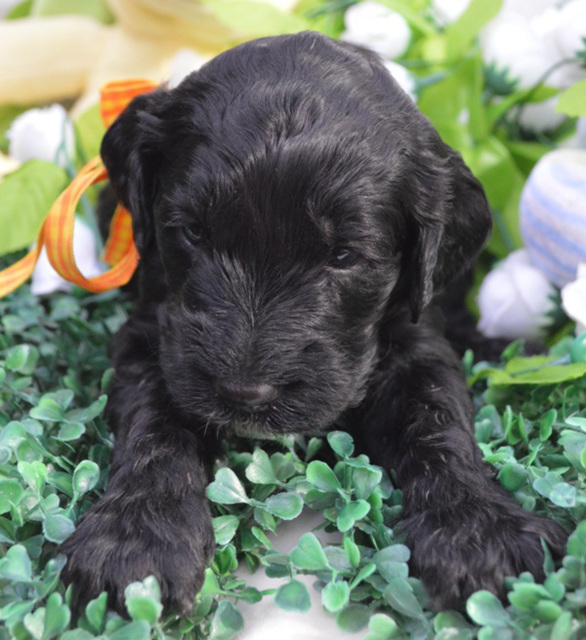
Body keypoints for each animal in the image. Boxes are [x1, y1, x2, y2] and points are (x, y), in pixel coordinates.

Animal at [60, 32, 564, 612]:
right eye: (192, 232)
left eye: (343, 255)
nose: (245, 395)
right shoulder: (157, 333)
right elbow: (154, 422)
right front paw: (136, 537)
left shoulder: (414, 336)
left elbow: (436, 417)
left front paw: (478, 528)